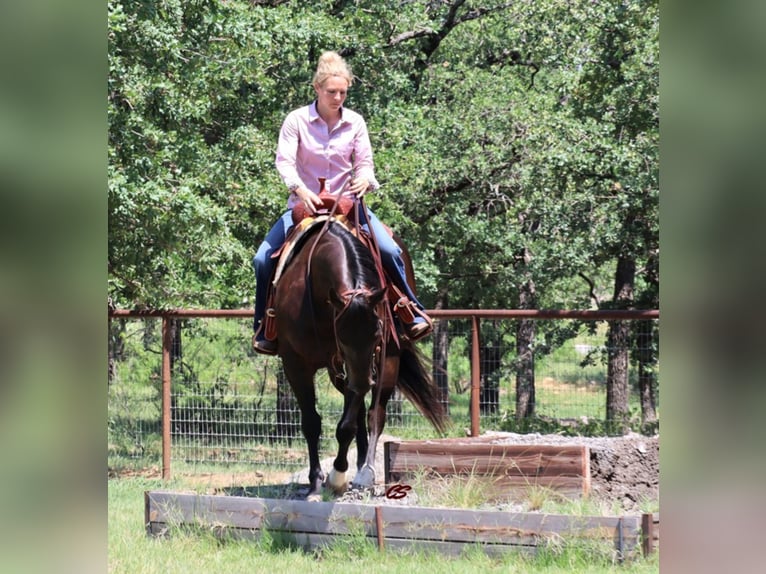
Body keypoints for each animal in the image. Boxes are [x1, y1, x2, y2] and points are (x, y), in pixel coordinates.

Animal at [274, 218, 450, 502]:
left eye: (377, 331)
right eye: (342, 335)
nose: (365, 380)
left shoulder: (369, 360)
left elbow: (348, 423)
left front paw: (337, 477)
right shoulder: (296, 363)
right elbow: (312, 423)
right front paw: (315, 484)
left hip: (384, 363)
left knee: (374, 414)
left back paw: (363, 473)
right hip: (341, 371)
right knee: (359, 411)